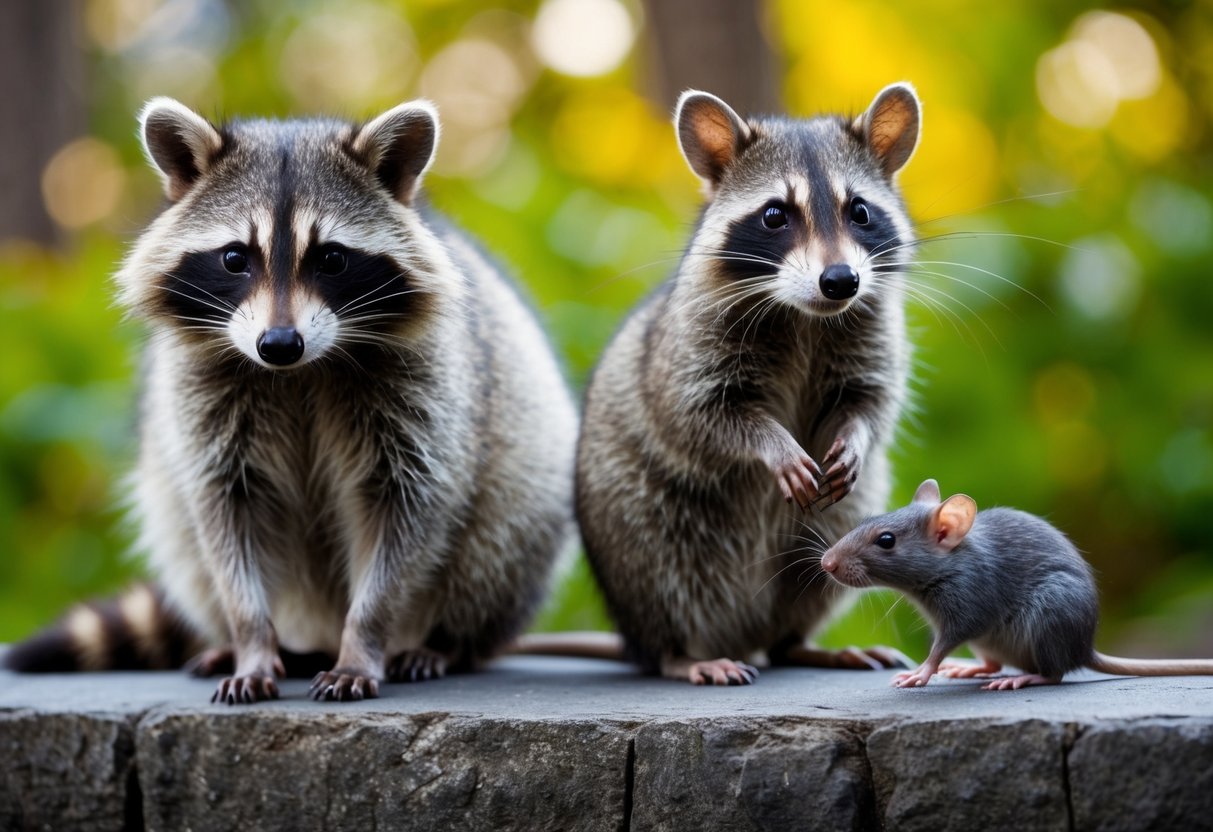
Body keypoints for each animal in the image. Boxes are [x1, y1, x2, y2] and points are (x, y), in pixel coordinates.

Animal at [4, 98, 578, 703]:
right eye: (235, 257)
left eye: (332, 259)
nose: (279, 344)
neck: (300, 372)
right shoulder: (205, 407)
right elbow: (225, 518)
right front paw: (252, 641)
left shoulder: (427, 397)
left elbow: (406, 511)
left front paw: (364, 639)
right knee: (183, 537)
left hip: (519, 487)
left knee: (497, 540)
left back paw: (441, 643)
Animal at [575, 85, 920, 684]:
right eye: (775, 214)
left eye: (859, 211)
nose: (841, 281)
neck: (807, 315)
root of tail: (745, 631)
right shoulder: (688, 351)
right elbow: (703, 415)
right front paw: (771, 444)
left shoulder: (873, 337)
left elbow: (871, 402)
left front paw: (854, 437)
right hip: (633, 522)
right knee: (659, 572)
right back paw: (680, 653)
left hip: (835, 526)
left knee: (821, 565)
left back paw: (799, 643)